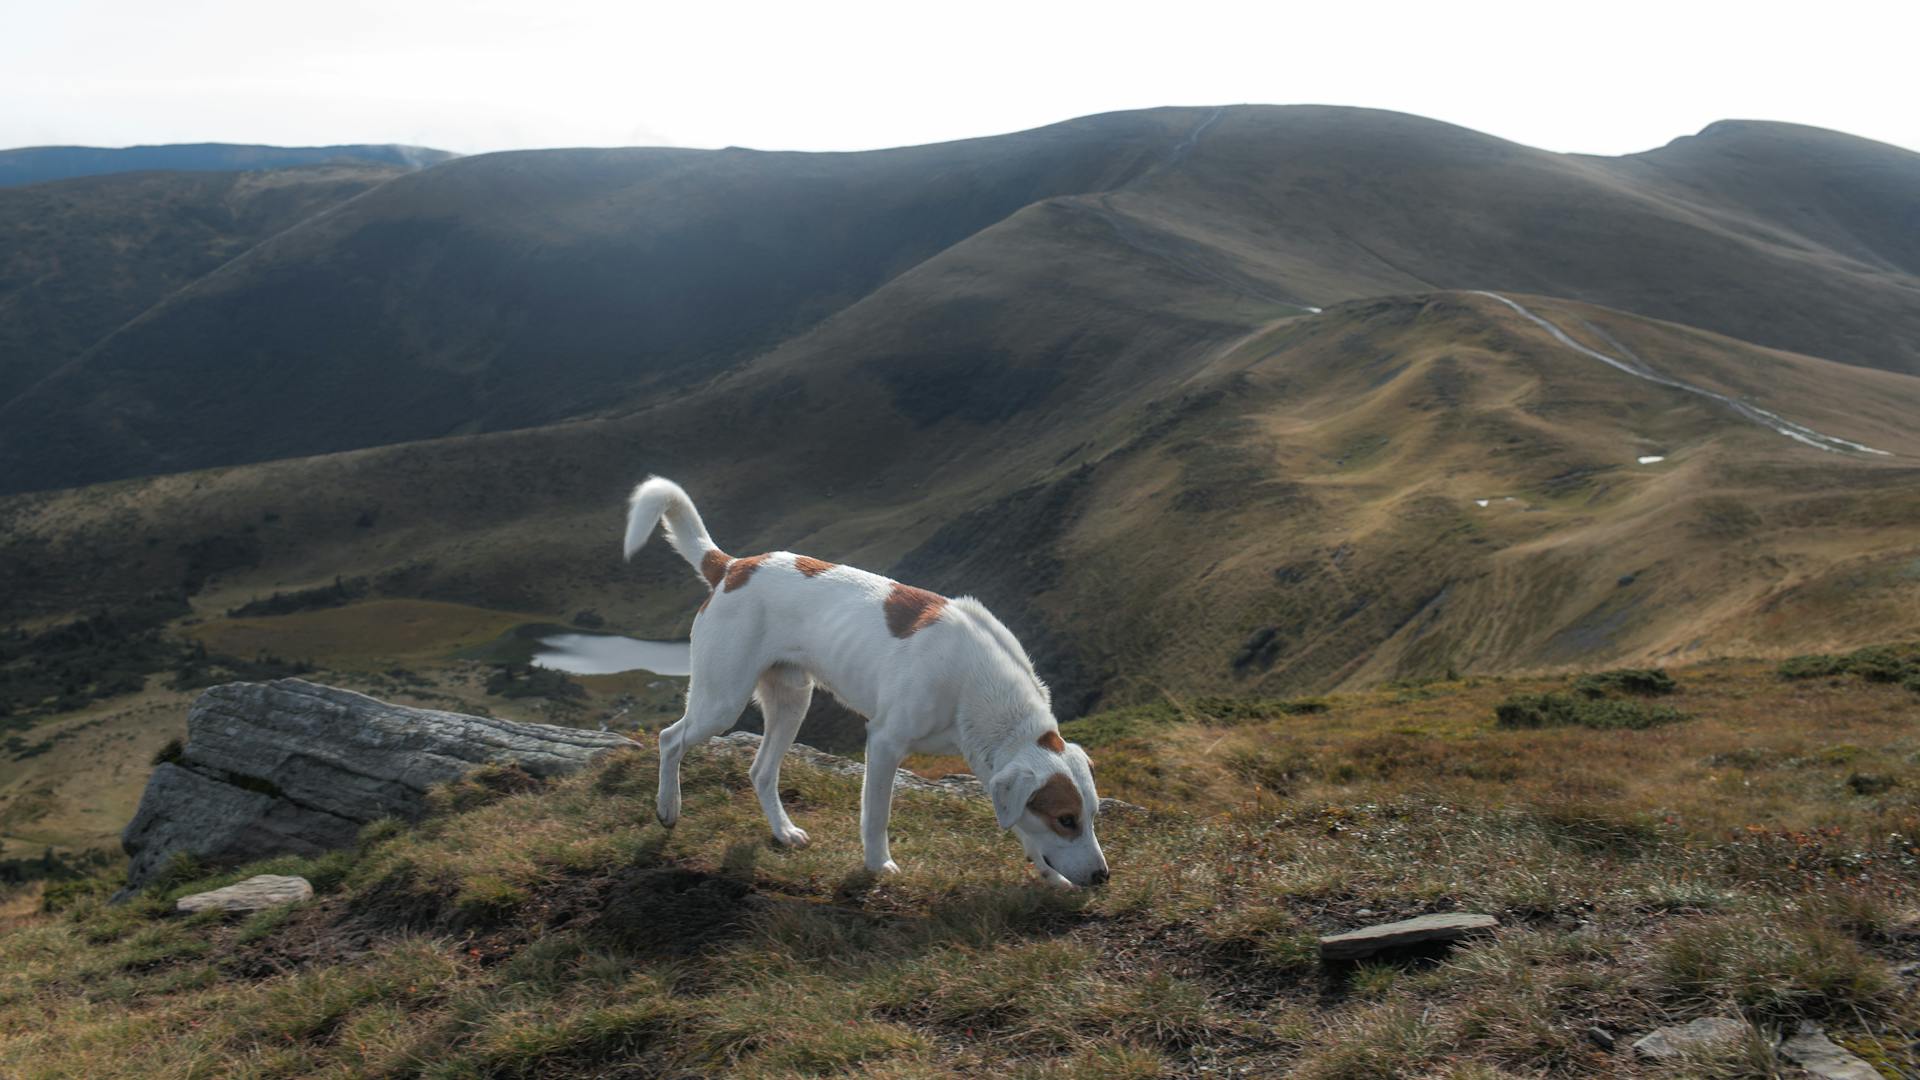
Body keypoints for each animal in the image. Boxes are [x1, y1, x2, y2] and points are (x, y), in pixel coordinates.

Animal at [625, 474, 1113, 887]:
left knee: (761, 771)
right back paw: (668, 808)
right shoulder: (884, 742)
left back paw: (783, 832)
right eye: (1066, 819)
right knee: (670, 739)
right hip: (722, 700)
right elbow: (877, 814)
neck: (975, 686)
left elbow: (1023, 830)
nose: (1102, 876)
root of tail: (732, 567)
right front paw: (879, 865)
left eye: (1091, 815)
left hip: (792, 701)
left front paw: (1049, 877)